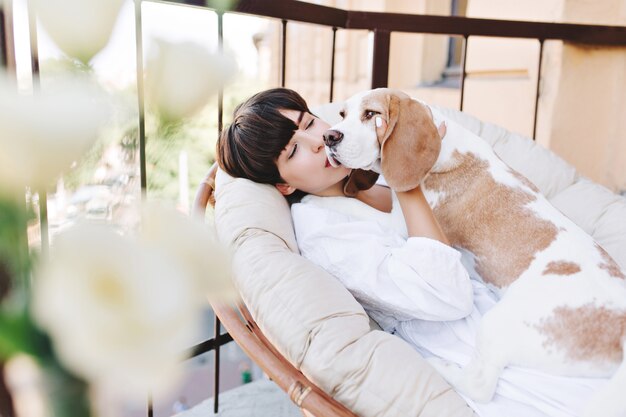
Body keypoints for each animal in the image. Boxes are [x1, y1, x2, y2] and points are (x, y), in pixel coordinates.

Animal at [324, 88, 624, 416]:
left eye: (371, 114)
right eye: (342, 114)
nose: (329, 136)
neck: (444, 148)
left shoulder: (399, 227)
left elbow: (347, 205)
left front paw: (312, 198)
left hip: (497, 323)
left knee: (478, 385)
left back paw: (439, 366)